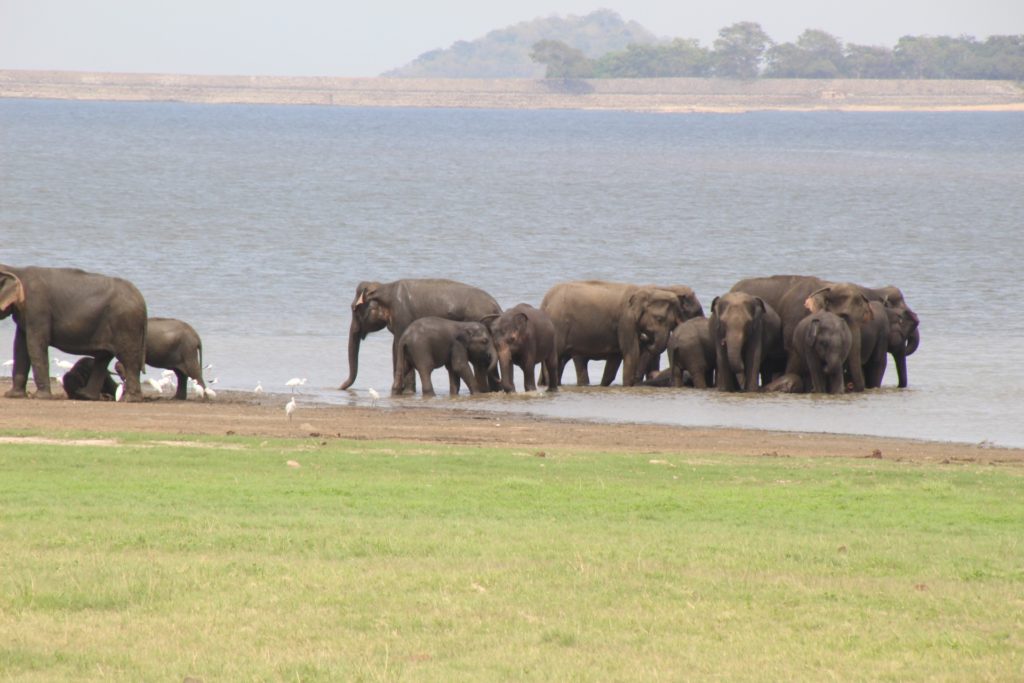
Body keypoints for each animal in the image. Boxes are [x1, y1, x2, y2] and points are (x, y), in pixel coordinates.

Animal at [0, 264, 148, 401]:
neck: (16, 270)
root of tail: (142, 300)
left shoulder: (37, 308)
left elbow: (35, 345)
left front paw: (41, 397)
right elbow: (20, 347)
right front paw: (13, 395)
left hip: (126, 324)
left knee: (128, 358)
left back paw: (129, 399)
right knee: (103, 357)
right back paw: (86, 396)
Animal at [339, 278, 503, 395]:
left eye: (354, 309)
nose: (340, 386)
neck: (385, 287)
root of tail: (497, 306)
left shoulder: (402, 316)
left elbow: (396, 346)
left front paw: (407, 392)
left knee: (480, 363)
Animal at [540, 278, 684, 385]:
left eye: (673, 324)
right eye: (659, 319)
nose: (645, 337)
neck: (644, 290)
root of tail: (545, 300)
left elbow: (614, 360)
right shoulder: (626, 321)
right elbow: (631, 353)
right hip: (558, 325)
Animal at [733, 274, 876, 393]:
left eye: (863, 318)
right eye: (843, 316)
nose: (851, 388)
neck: (826, 286)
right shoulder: (793, 321)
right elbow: (793, 357)